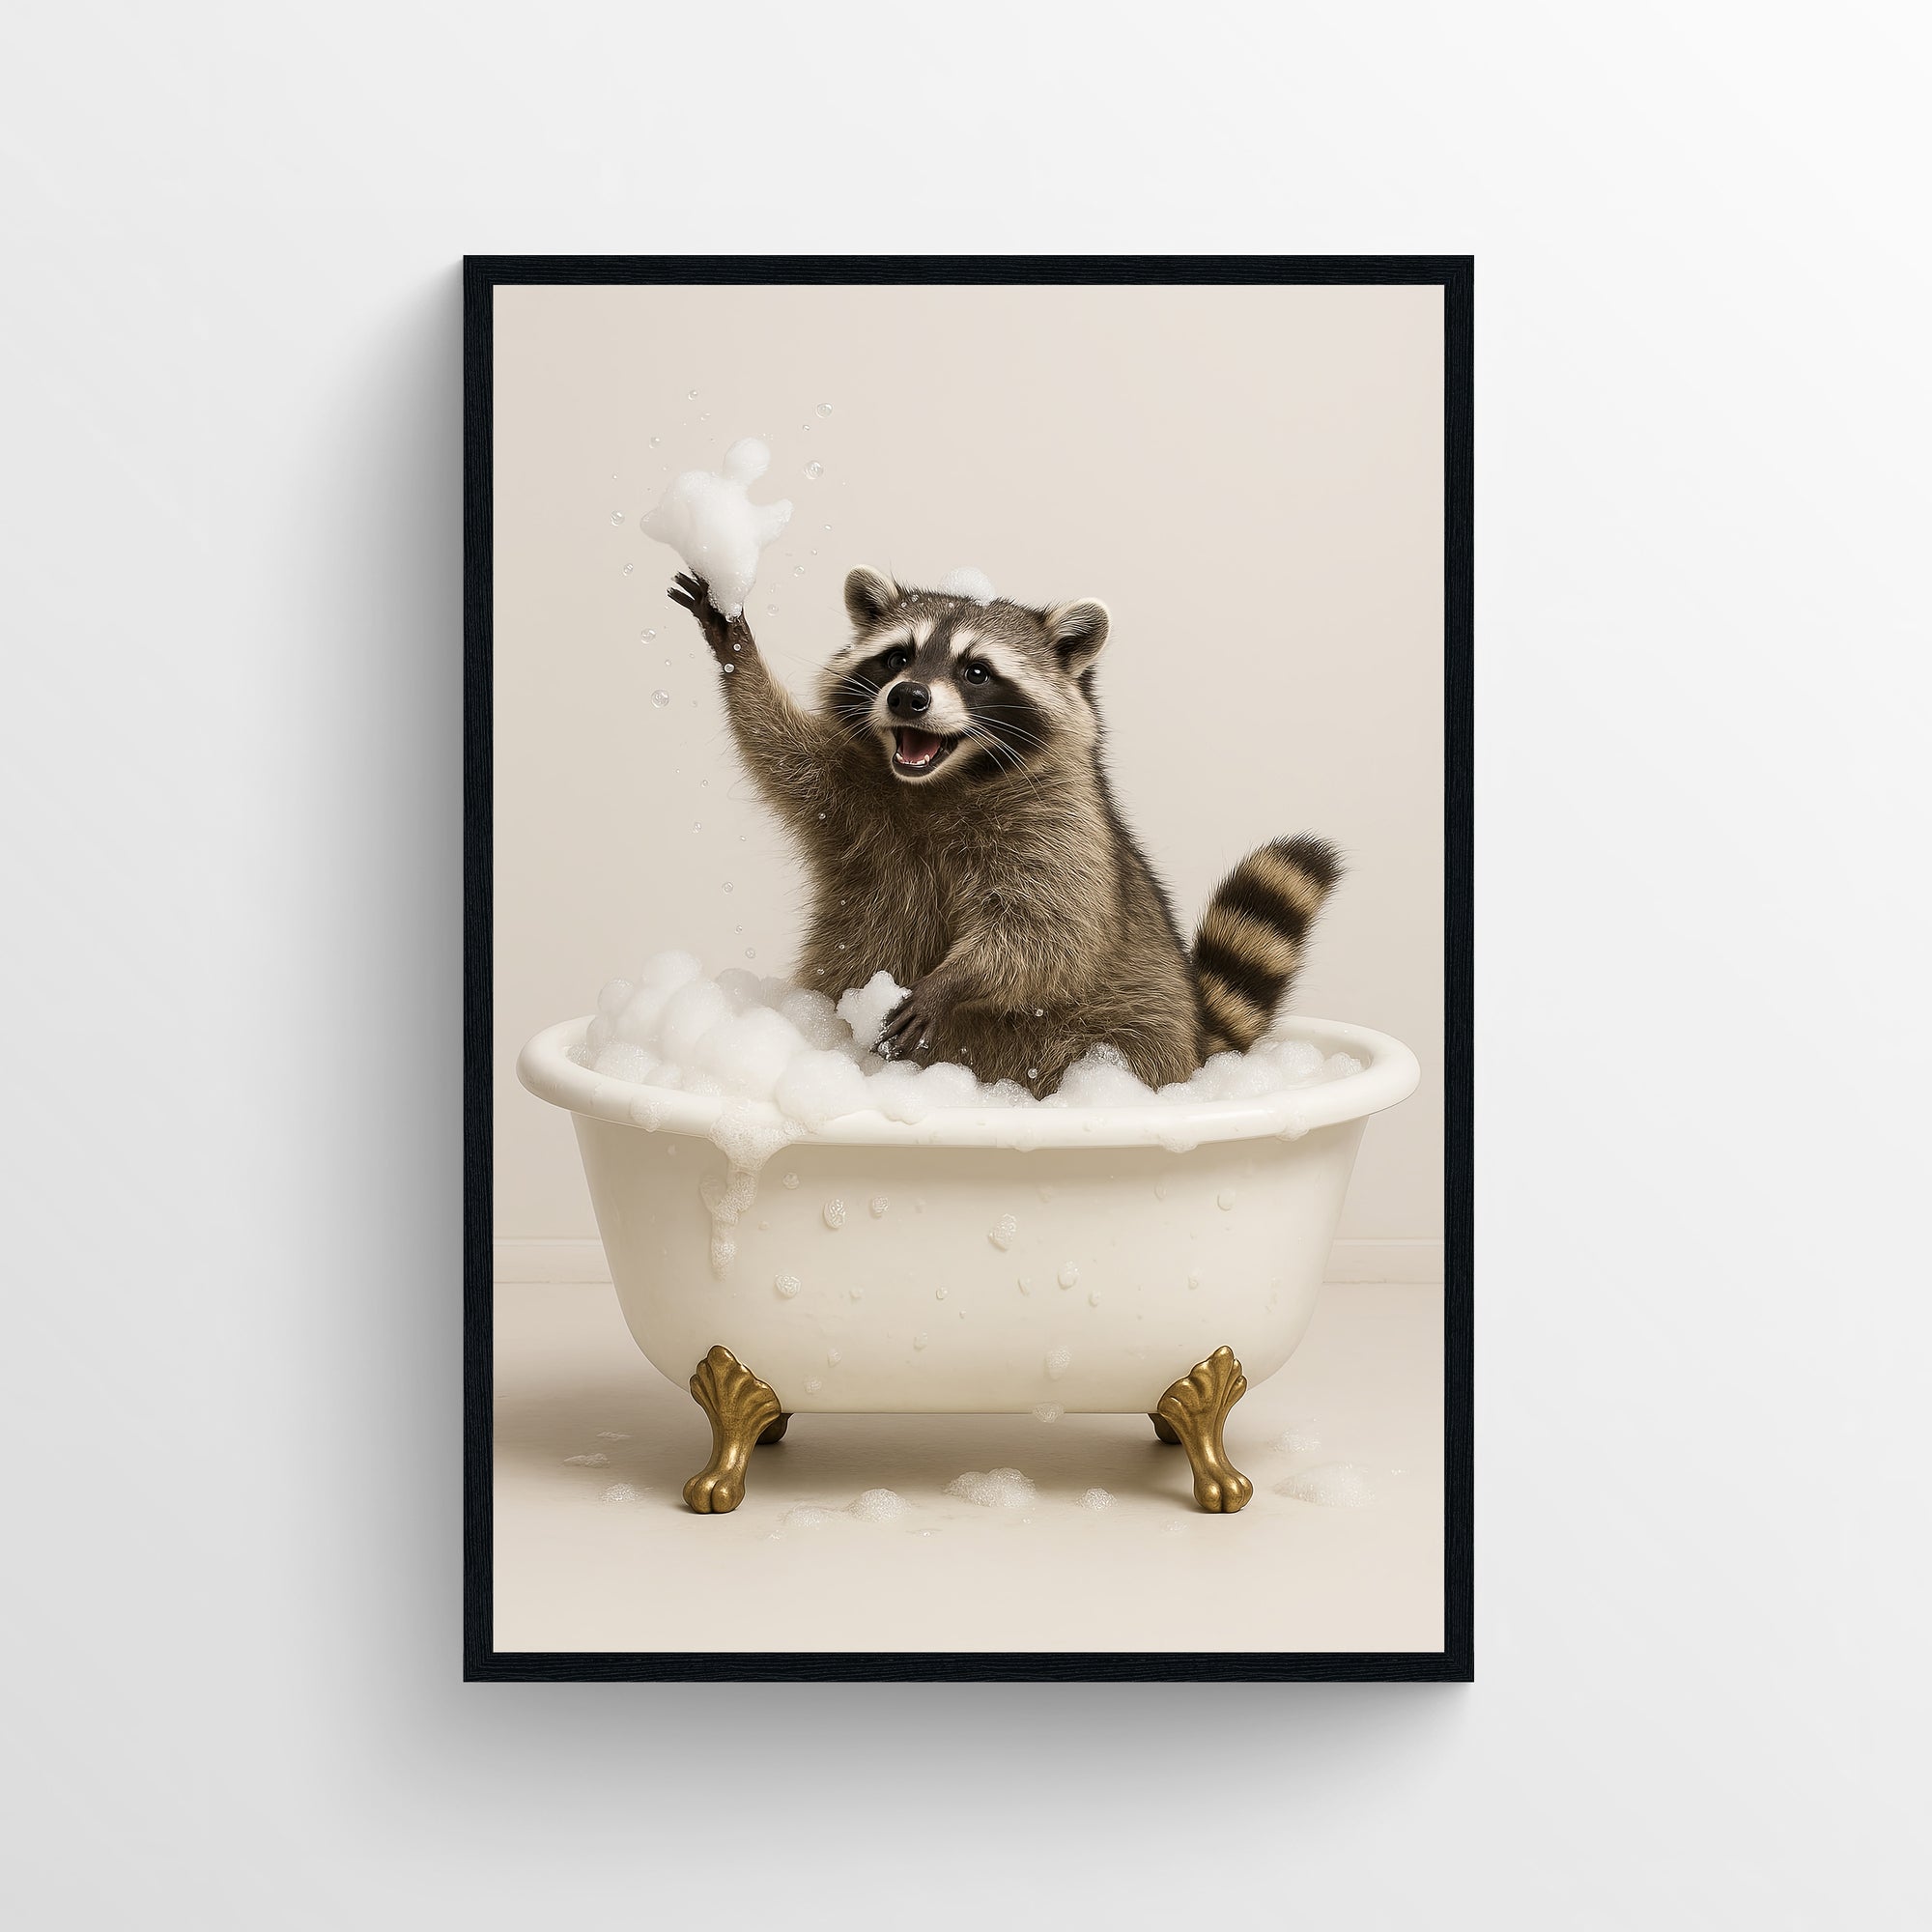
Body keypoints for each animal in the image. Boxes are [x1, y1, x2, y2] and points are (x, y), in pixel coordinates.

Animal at [667, 566, 1339, 1093]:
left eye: (977, 672)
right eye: (897, 657)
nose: (907, 697)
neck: (938, 783)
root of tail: (1198, 1045)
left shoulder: (1062, 827)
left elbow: (1046, 933)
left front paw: (952, 980)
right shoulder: (851, 793)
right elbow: (781, 754)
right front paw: (737, 654)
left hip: (1129, 1026)